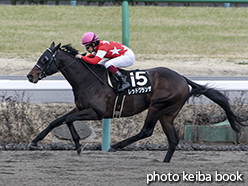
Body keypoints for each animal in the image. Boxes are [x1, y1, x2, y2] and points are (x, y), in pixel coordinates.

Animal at [26, 42, 243, 163]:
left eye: (45, 59)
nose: (30, 76)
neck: (86, 78)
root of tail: (182, 78)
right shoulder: (81, 107)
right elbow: (58, 121)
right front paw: (34, 141)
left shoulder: (96, 112)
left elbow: (68, 120)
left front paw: (79, 145)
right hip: (168, 114)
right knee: (173, 139)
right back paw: (164, 162)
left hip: (157, 106)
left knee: (146, 131)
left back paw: (116, 146)